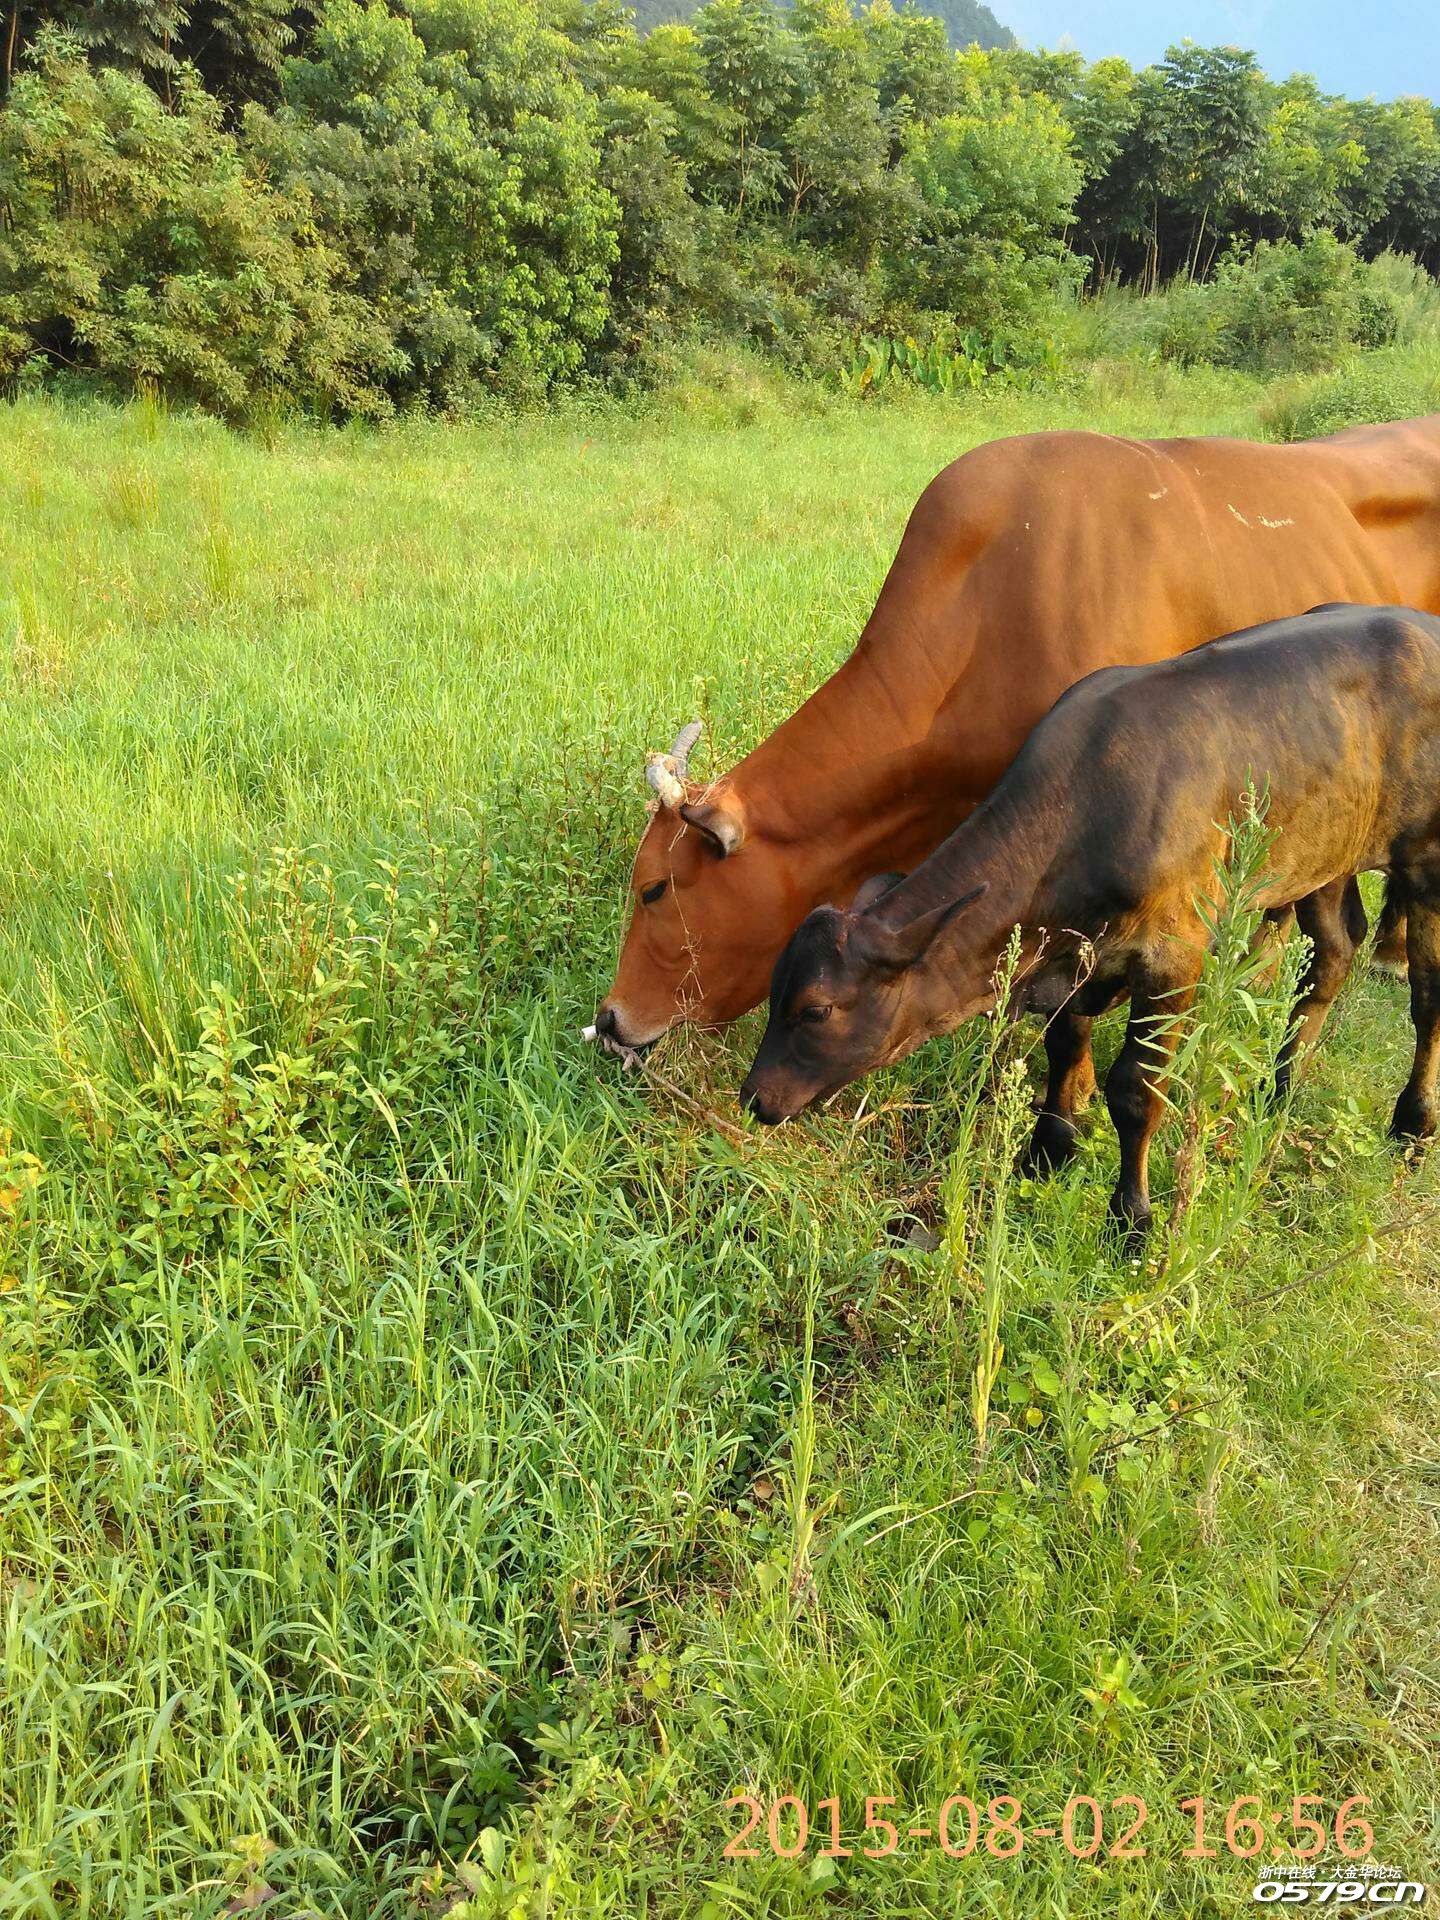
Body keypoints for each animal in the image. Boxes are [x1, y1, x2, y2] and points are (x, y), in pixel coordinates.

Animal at [737, 606, 1440, 1251]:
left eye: (817, 1010)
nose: (753, 1098)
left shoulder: (1173, 958)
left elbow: (1133, 1089)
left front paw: (1132, 1217)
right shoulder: (1072, 959)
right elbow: (1064, 1043)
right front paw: (1050, 1148)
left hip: (1425, 859)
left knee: (1426, 994)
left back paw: (1412, 1122)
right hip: (1324, 854)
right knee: (1334, 955)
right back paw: (1282, 1085)